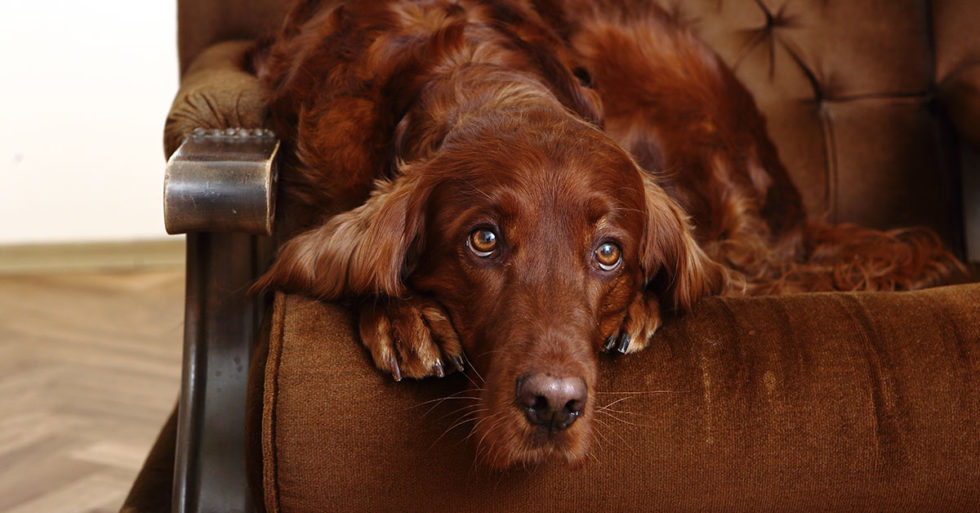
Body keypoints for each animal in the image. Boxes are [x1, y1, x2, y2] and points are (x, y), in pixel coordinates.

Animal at [249, 0, 960, 470]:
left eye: (609, 253)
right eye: (483, 240)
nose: (552, 405)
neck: (465, 71)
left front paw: (639, 304)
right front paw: (404, 317)